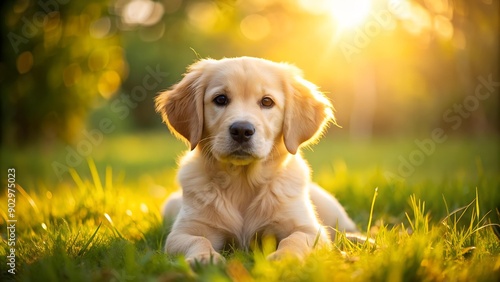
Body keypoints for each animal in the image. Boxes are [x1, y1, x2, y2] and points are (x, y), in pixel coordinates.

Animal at [155, 57, 356, 264]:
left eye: (267, 101)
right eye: (220, 99)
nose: (241, 130)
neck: (242, 182)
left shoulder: (311, 230)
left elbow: (295, 239)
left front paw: (285, 257)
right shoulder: (182, 232)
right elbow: (198, 240)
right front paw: (204, 258)